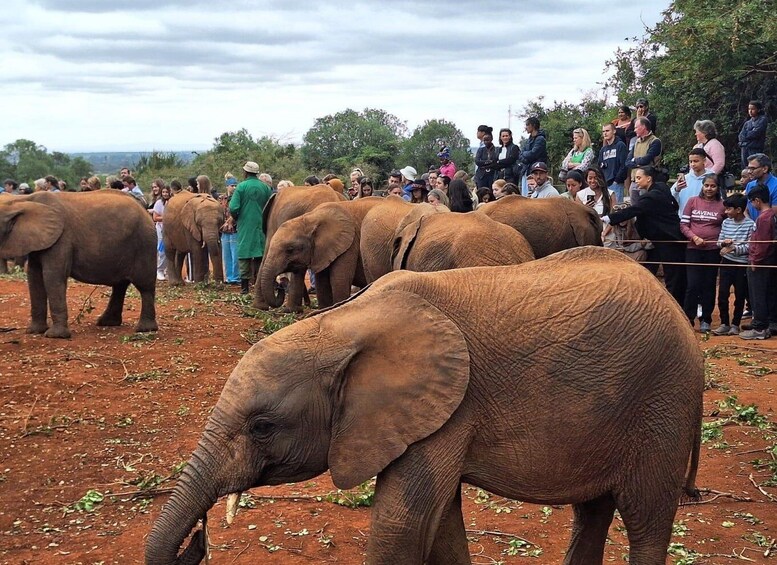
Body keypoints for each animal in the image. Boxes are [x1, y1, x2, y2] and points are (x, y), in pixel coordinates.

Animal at [0, 189, 158, 340]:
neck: (21, 200)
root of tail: (144, 208)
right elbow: (34, 277)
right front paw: (34, 332)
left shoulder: (61, 239)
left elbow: (52, 276)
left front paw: (56, 336)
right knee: (120, 285)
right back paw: (107, 323)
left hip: (145, 242)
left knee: (144, 286)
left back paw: (145, 329)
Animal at [146, 247, 704, 564]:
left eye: (261, 427)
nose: (197, 543)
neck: (342, 322)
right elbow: (439, 527)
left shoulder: (448, 408)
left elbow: (402, 526)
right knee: (591, 514)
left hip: (663, 405)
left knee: (646, 522)